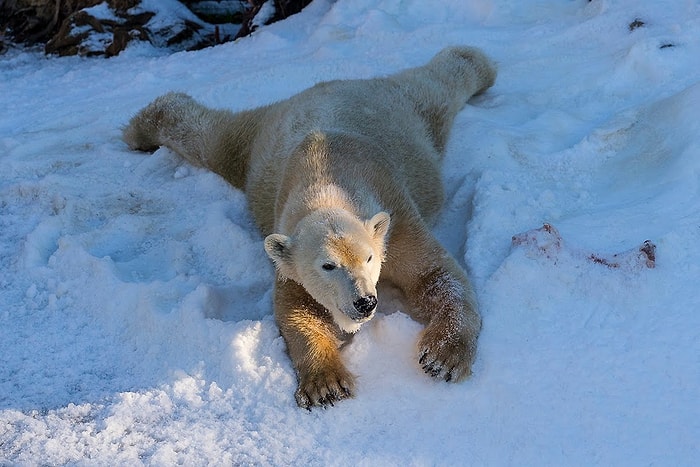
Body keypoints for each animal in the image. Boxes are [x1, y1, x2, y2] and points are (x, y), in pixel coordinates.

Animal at [126, 45, 498, 408]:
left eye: (369, 258)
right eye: (327, 266)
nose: (365, 302)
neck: (327, 180)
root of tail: (323, 87)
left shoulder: (396, 218)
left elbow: (436, 275)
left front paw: (442, 357)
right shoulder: (287, 249)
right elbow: (297, 307)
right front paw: (325, 385)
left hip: (401, 116)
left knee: (437, 88)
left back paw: (475, 63)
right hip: (262, 142)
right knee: (215, 141)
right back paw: (141, 129)